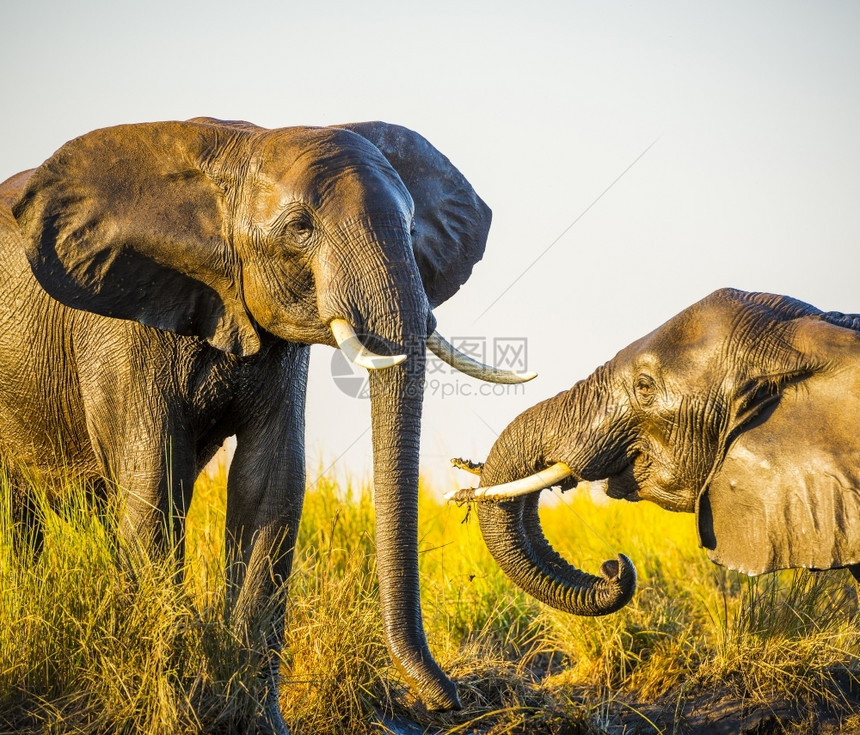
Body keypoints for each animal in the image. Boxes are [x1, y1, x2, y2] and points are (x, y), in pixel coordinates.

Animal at [0, 116, 532, 732]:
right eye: (300, 228)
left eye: (411, 225)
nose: (451, 698)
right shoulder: (121, 326)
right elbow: (153, 485)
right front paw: (171, 712)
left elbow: (269, 486)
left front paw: (255, 722)